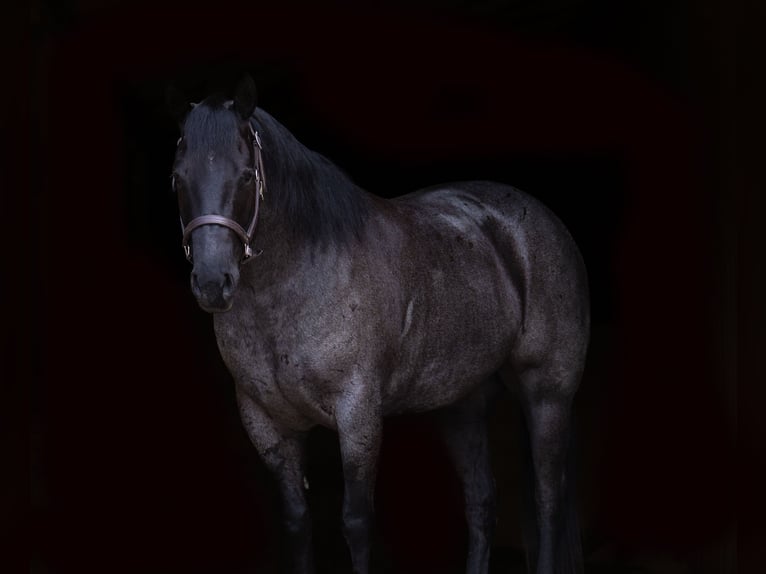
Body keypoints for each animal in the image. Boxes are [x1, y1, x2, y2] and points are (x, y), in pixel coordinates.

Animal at [167, 75, 589, 574]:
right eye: (178, 179)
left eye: (247, 176)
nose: (213, 283)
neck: (294, 285)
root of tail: (540, 221)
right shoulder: (267, 424)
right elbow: (297, 524)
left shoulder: (358, 415)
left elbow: (356, 523)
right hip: (461, 404)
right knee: (483, 501)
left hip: (547, 395)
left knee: (548, 501)